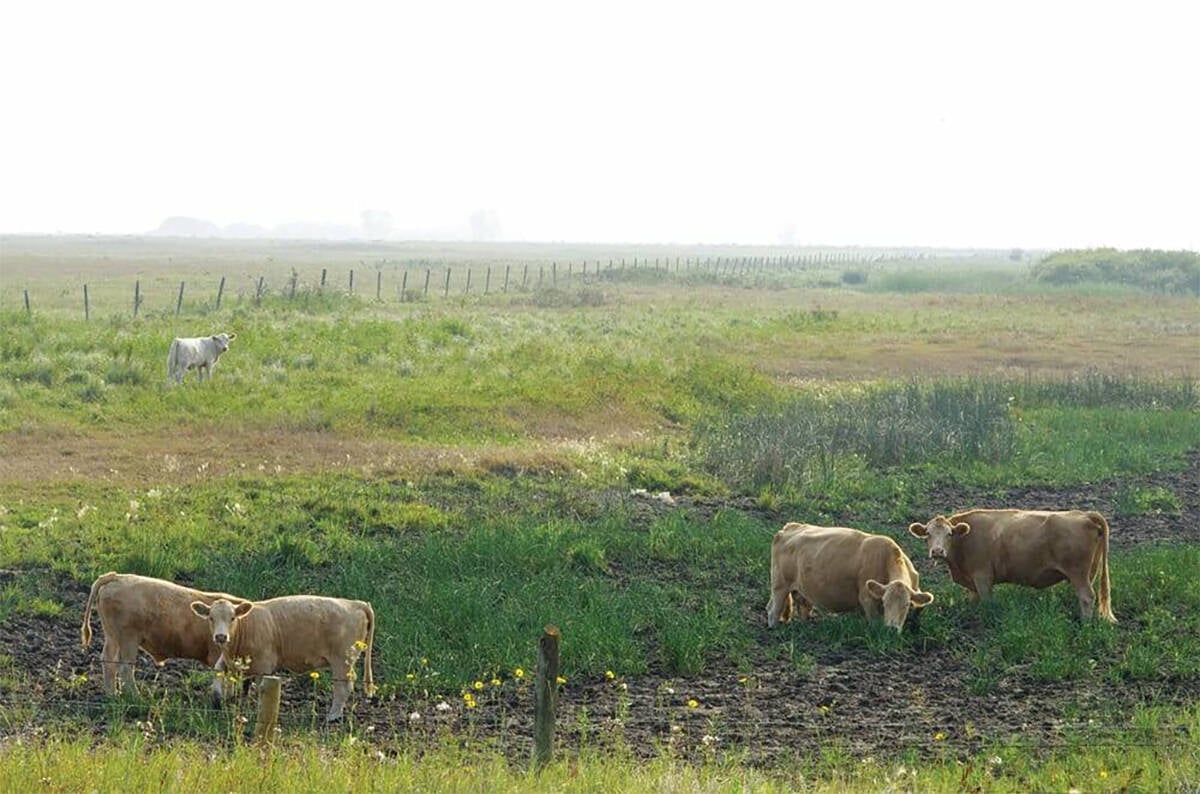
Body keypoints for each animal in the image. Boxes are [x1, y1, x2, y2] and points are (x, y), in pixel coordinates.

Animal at [80, 572, 250, 695]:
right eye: (211, 618)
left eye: (233, 618)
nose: (221, 636)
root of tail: (117, 576)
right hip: (128, 638)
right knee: (125, 668)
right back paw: (134, 696)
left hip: (113, 637)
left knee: (109, 661)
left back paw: (112, 695)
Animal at [190, 595, 376, 722]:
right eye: (211, 618)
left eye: (232, 618)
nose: (221, 637)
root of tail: (354, 603)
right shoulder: (228, 660)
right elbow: (218, 670)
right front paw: (217, 699)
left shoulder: (264, 666)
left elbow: (261, 689)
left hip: (342, 660)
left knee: (343, 686)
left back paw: (333, 715)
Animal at [766, 522, 934, 632]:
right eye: (885, 602)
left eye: (906, 605)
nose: (891, 629)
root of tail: (789, 527)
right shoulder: (867, 599)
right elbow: (874, 622)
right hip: (780, 586)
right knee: (772, 610)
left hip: (800, 590)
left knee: (802, 607)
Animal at [908, 509, 1115, 622]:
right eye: (928, 534)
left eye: (949, 534)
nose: (937, 551)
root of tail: (1084, 514)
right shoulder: (971, 583)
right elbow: (973, 601)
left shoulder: (983, 577)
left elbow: (987, 603)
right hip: (1088, 573)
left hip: (1078, 573)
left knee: (1087, 597)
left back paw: (1085, 624)